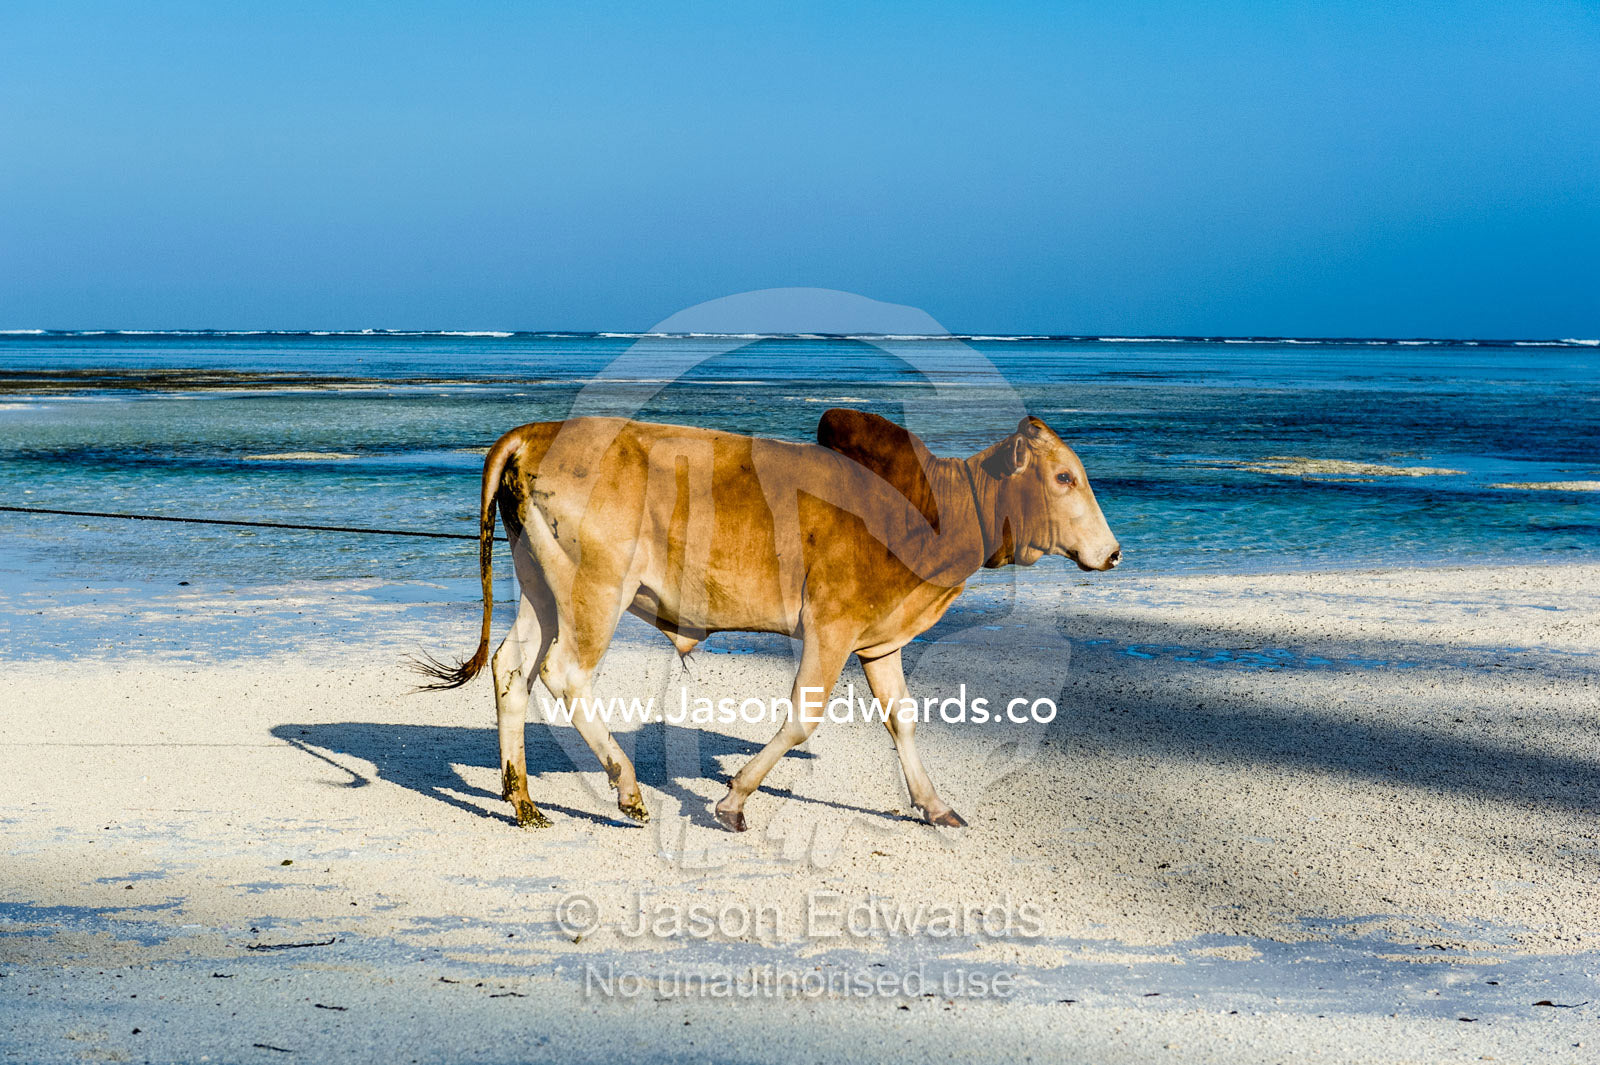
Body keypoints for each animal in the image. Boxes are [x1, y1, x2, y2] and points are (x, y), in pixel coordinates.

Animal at [414, 409, 1120, 832]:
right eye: (1064, 477)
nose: (1113, 552)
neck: (929, 510)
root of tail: (536, 430)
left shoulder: (878, 643)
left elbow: (903, 720)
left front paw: (934, 804)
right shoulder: (831, 630)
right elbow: (803, 720)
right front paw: (732, 800)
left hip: (541, 587)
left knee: (511, 670)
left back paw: (522, 800)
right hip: (596, 593)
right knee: (564, 675)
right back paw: (627, 789)